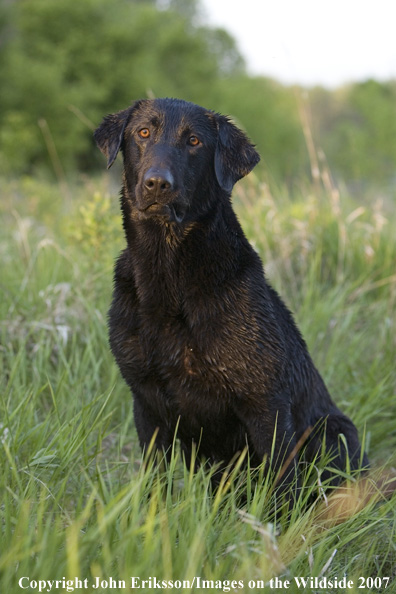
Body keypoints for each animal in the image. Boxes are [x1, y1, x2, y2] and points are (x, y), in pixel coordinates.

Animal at [93, 97, 368, 494]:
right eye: (143, 133)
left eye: (194, 141)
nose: (158, 183)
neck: (170, 278)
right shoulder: (146, 403)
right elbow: (154, 486)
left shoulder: (265, 404)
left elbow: (281, 487)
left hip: (335, 431)